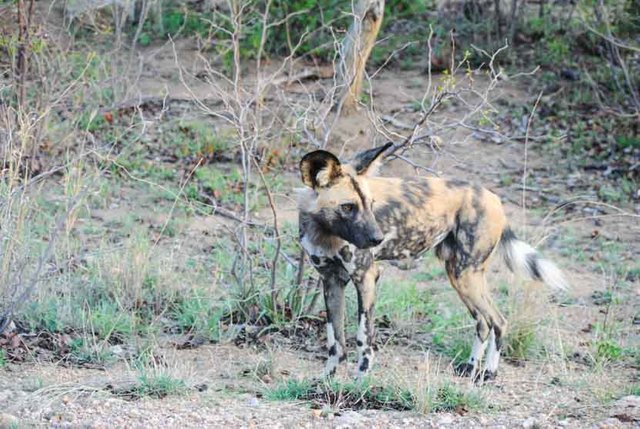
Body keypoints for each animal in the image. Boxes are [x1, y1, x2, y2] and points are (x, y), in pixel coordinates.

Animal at [298, 142, 568, 380]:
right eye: (348, 207)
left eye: (371, 205)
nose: (377, 238)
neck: (325, 233)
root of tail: (492, 196)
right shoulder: (331, 280)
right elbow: (335, 341)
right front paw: (327, 380)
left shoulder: (366, 277)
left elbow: (364, 339)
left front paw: (360, 382)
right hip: (459, 275)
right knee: (483, 322)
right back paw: (471, 367)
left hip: (465, 274)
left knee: (498, 321)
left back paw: (489, 372)